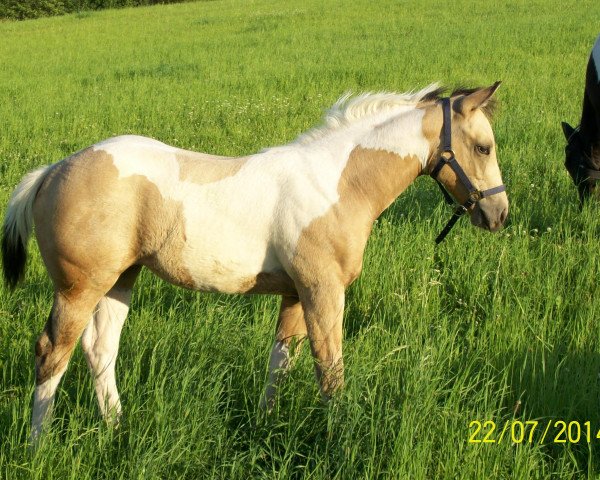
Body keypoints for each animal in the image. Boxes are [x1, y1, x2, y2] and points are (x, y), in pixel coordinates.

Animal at [1, 83, 506, 442]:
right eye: (483, 147)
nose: (499, 214)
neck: (334, 184)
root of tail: (51, 172)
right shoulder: (322, 290)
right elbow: (330, 369)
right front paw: (339, 437)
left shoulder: (294, 294)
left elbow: (280, 362)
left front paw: (265, 426)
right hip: (79, 288)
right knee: (52, 353)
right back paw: (38, 446)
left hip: (120, 279)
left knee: (100, 350)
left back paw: (116, 429)